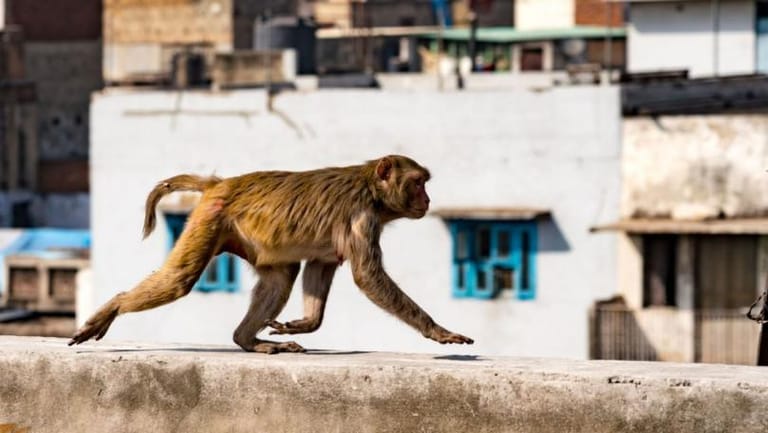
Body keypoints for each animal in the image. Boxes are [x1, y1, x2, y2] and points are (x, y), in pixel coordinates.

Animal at [69, 155, 474, 354]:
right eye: (418, 183)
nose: (427, 200)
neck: (371, 190)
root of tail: (221, 183)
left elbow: (321, 266)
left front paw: (306, 323)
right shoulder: (362, 217)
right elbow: (367, 275)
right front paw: (437, 330)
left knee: (282, 276)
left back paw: (247, 340)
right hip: (212, 217)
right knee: (178, 280)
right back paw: (115, 306)